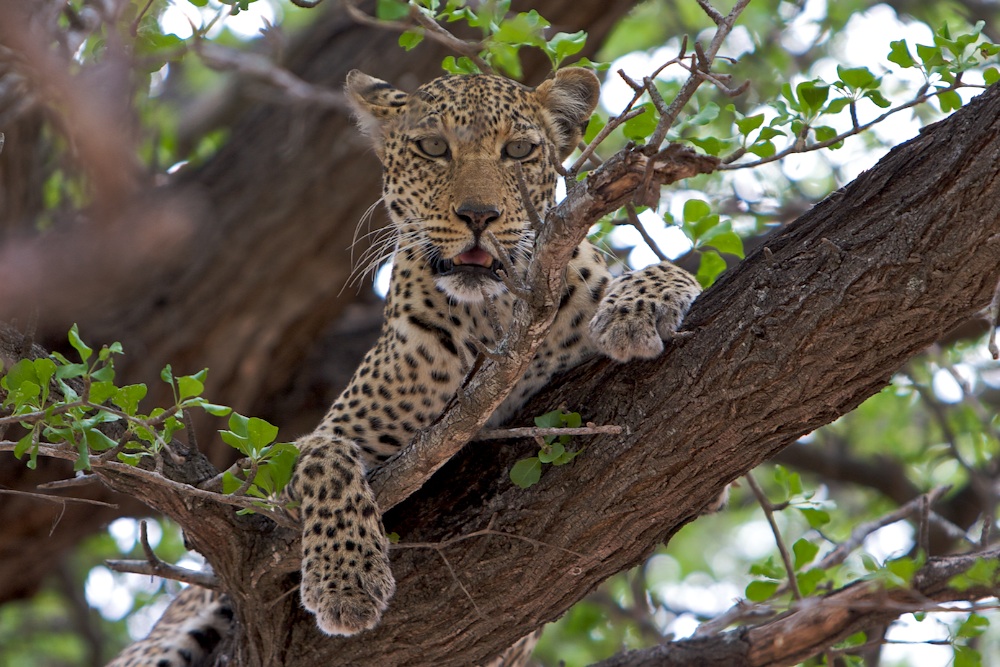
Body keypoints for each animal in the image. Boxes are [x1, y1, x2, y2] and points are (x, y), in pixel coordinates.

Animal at [107, 69, 704, 667]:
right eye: (434, 148)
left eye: (519, 151)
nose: (479, 216)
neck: (492, 316)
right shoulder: (289, 467)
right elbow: (325, 458)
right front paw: (346, 581)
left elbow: (670, 271)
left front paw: (632, 310)